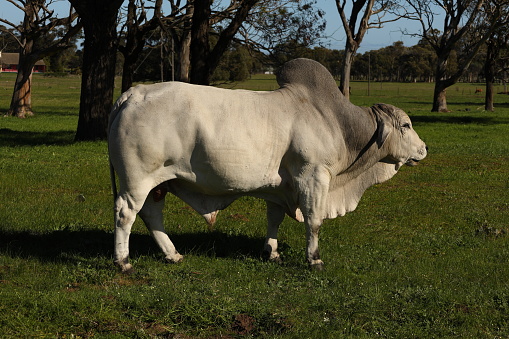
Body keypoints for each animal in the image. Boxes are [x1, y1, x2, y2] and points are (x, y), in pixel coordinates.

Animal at [109, 57, 426, 272]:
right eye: (406, 125)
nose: (424, 149)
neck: (335, 121)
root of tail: (133, 93)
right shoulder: (313, 176)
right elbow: (314, 220)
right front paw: (314, 259)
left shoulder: (280, 187)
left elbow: (274, 219)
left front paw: (271, 252)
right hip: (137, 180)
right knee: (126, 214)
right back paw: (123, 261)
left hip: (159, 183)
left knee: (151, 214)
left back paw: (172, 254)